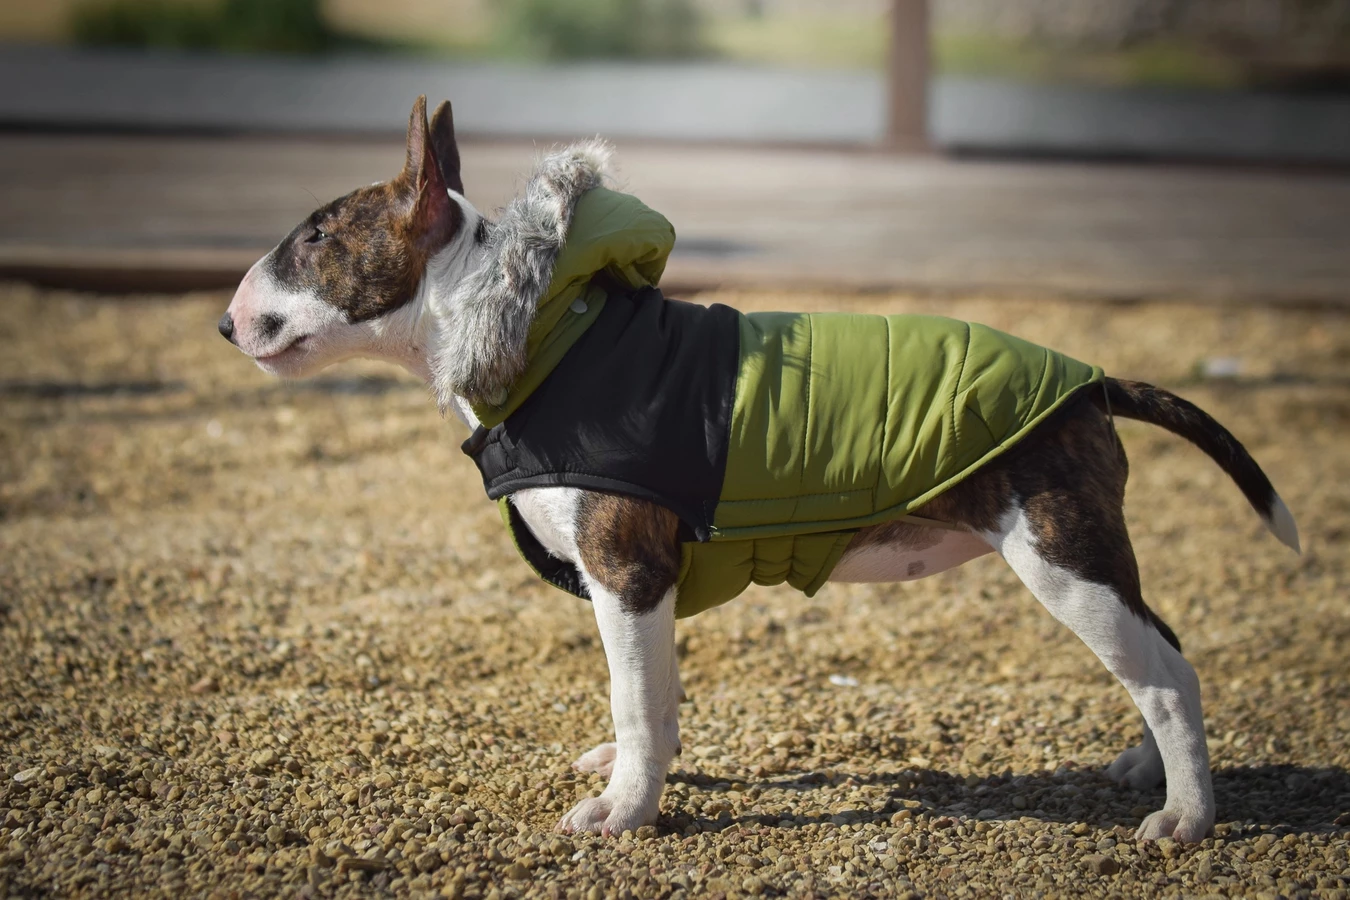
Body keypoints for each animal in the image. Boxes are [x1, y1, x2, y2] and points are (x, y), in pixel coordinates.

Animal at [218, 98, 1296, 847]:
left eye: (316, 235)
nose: (225, 324)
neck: (534, 324)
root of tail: (1090, 383)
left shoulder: (628, 574)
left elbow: (634, 697)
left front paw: (624, 811)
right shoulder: (640, 589)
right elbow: (651, 701)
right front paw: (639, 777)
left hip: (1060, 552)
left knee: (1164, 676)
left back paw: (1188, 816)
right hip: (1089, 554)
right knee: (1162, 650)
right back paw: (1149, 770)